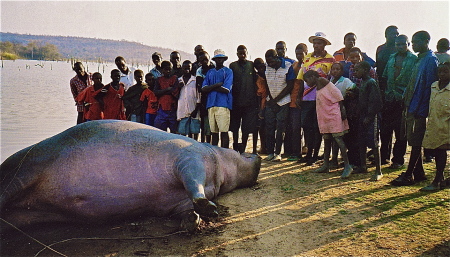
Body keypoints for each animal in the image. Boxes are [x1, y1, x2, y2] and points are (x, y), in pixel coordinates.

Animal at [0, 119, 260, 230]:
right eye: (238, 149)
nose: (257, 156)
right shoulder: (190, 159)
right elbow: (194, 185)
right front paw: (210, 210)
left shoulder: (177, 202)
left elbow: (187, 205)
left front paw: (194, 221)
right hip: (24, 170)